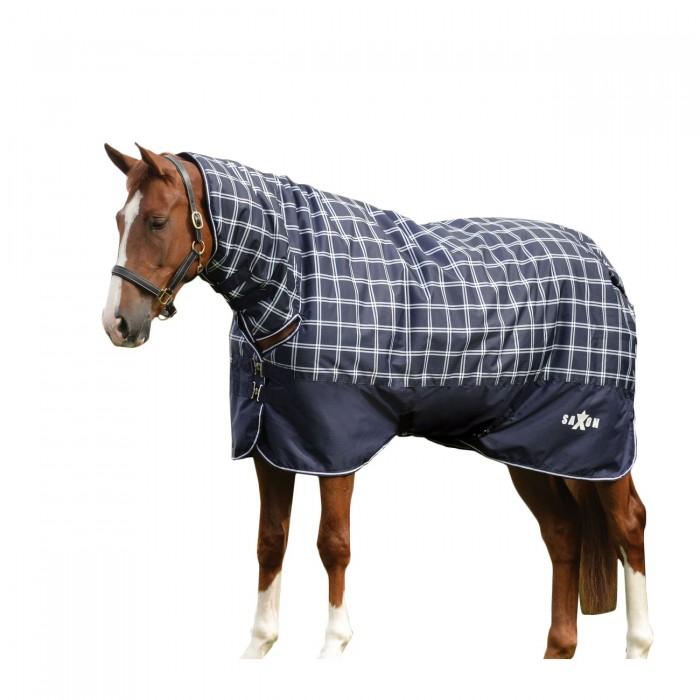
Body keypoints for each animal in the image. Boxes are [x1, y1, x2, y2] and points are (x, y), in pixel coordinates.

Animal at [101, 143, 652, 659]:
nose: (118, 324)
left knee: (629, 523)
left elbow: (333, 543)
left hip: (594, 445)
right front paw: (259, 645)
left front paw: (333, 644)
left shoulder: (335, 448)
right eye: (118, 220)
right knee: (563, 533)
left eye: (156, 221)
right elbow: (270, 542)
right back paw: (558, 649)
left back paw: (638, 646)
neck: (293, 284)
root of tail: (603, 264)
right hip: (532, 449)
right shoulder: (271, 445)